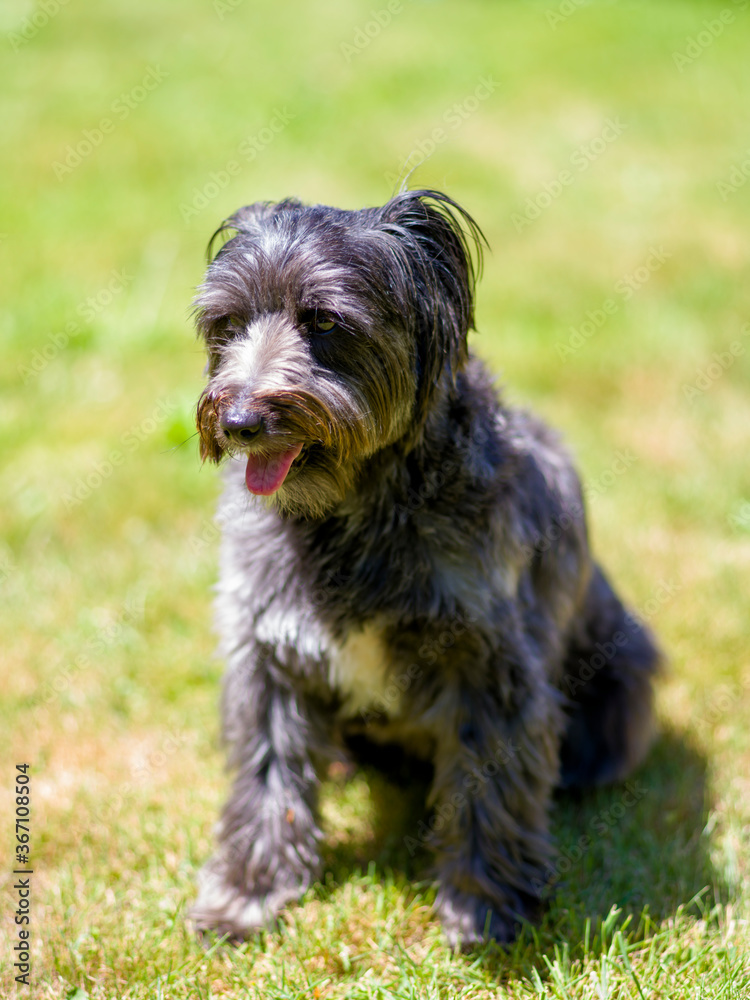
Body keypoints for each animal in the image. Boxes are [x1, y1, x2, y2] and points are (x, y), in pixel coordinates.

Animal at [191, 188, 660, 944]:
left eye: (324, 320)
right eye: (227, 324)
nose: (237, 421)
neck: (353, 512)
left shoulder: (490, 666)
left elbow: (489, 791)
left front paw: (485, 908)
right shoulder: (266, 657)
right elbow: (267, 781)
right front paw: (247, 895)